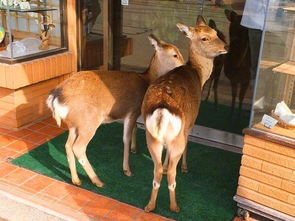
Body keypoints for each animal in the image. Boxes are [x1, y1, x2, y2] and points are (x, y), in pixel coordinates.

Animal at [46, 35, 185, 188]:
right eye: (175, 54)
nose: (184, 66)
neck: (146, 80)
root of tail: (55, 97)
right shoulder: (132, 110)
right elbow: (126, 138)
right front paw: (127, 169)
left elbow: (135, 128)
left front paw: (134, 149)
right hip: (88, 121)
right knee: (78, 147)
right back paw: (97, 180)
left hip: (74, 124)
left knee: (68, 145)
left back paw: (76, 180)